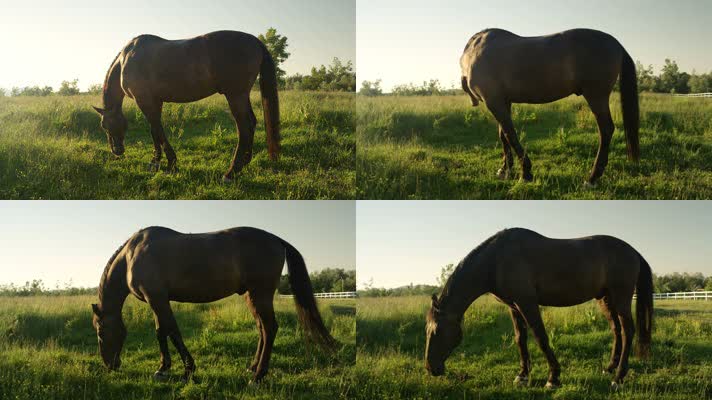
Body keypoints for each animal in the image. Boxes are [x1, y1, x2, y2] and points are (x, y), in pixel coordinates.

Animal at [90, 227, 336, 382]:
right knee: (262, 329)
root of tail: (277, 240)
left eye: (101, 332)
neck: (132, 256)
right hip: (251, 296)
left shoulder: (157, 299)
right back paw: (252, 367)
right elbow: (162, 332)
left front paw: (186, 370)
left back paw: (258, 376)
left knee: (269, 328)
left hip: (261, 294)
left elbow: (171, 331)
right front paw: (164, 368)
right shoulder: (157, 300)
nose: (110, 365)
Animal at [94, 30, 280, 181]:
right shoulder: (155, 102)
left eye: (103, 125)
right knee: (252, 122)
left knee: (244, 127)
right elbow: (154, 130)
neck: (126, 60)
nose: (117, 150)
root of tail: (255, 41)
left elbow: (158, 130)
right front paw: (155, 162)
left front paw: (171, 164)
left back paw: (231, 172)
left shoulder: (145, 101)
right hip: (242, 96)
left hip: (236, 96)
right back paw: (245, 163)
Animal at [426, 228, 652, 390]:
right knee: (616, 330)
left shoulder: (527, 303)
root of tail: (633, 252)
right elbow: (520, 338)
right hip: (605, 299)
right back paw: (610, 368)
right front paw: (522, 376)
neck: (497, 259)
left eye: (437, 331)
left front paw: (553, 378)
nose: (431, 368)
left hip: (621, 298)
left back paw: (618, 378)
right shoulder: (513, 306)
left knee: (627, 331)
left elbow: (540, 337)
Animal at [458, 29, 644, 186]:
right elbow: (503, 135)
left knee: (605, 130)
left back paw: (592, 178)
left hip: (596, 96)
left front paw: (525, 173)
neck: (474, 51)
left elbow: (510, 135)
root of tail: (616, 44)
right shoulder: (502, 101)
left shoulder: (493, 101)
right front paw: (505, 170)